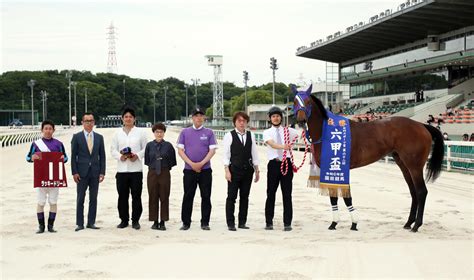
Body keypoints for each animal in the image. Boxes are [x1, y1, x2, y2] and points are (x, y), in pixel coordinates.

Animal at [294, 86, 446, 233]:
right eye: (295, 102)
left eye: (308, 102)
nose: (301, 121)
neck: (329, 131)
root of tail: (421, 125)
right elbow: (334, 197)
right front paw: (334, 223)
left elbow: (346, 197)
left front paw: (353, 224)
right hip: (404, 165)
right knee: (413, 191)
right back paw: (409, 223)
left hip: (414, 166)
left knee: (421, 192)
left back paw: (416, 225)